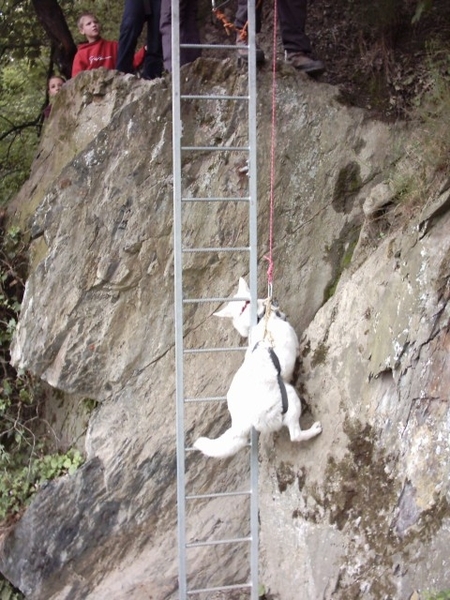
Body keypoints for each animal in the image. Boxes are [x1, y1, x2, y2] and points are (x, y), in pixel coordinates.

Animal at [192, 278, 322, 458]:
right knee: (295, 435)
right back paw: (313, 430)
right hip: (289, 398)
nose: (274, 301)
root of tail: (243, 422)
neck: (262, 320)